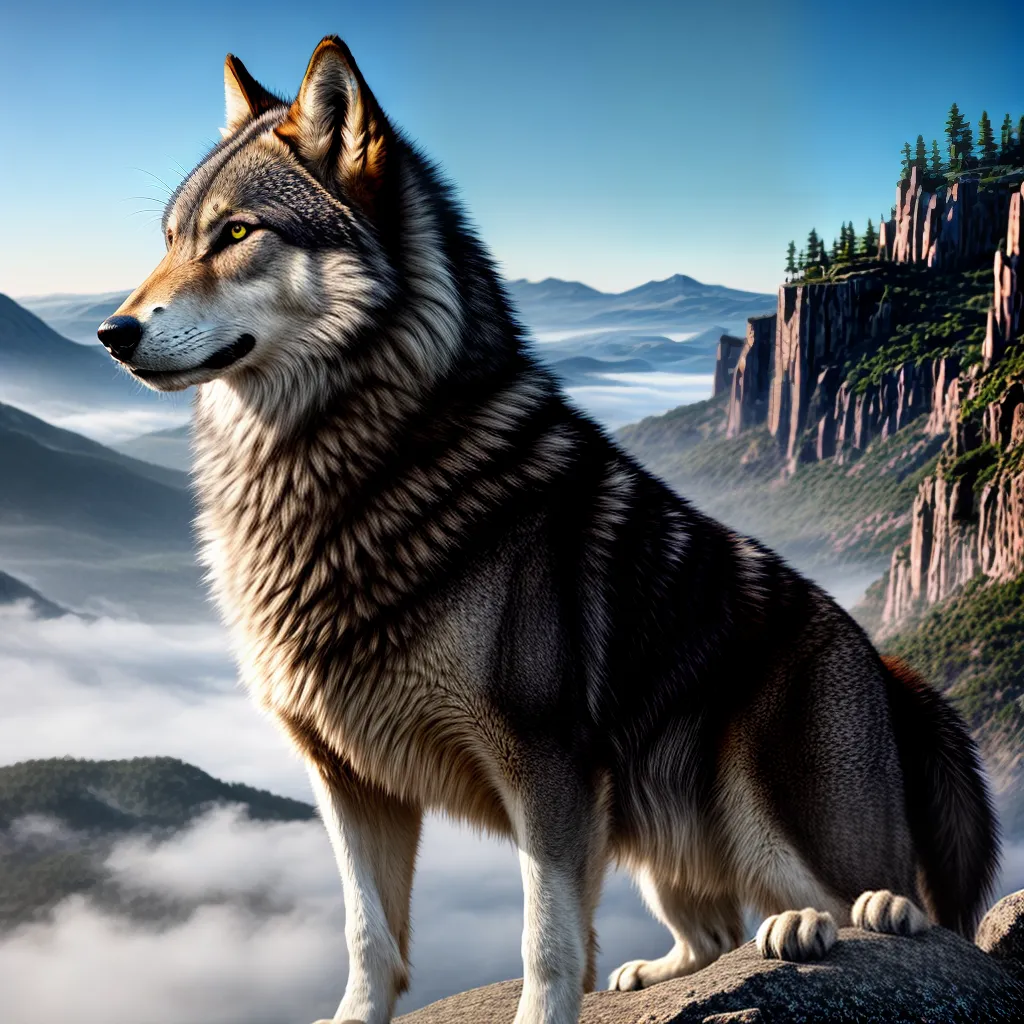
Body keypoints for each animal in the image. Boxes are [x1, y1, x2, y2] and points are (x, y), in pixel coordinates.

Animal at [98, 37, 999, 1024]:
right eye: (171, 240)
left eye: (236, 234)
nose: (111, 331)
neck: (332, 473)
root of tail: (891, 665)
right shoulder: (347, 776)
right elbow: (370, 939)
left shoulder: (546, 767)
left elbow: (546, 938)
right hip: (654, 825)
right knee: (713, 931)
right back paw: (662, 970)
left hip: (754, 807)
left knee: (893, 908)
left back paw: (835, 923)